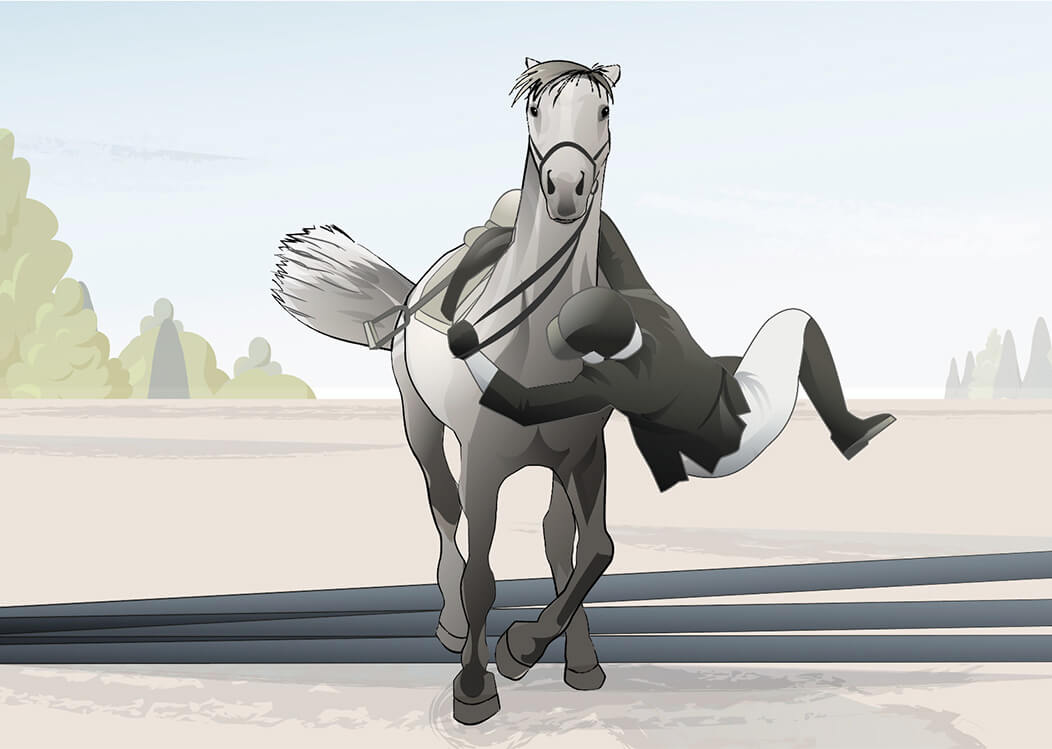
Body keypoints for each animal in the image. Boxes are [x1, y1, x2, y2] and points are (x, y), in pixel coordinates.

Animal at [273, 58, 623, 724]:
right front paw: (477, 683)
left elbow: (594, 550)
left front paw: (544, 653)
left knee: (555, 538)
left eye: (603, 110)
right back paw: (455, 625)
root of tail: (411, 293)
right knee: (445, 510)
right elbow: (482, 575)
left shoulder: (586, 453)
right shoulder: (482, 460)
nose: (566, 187)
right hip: (423, 427)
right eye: (535, 111)